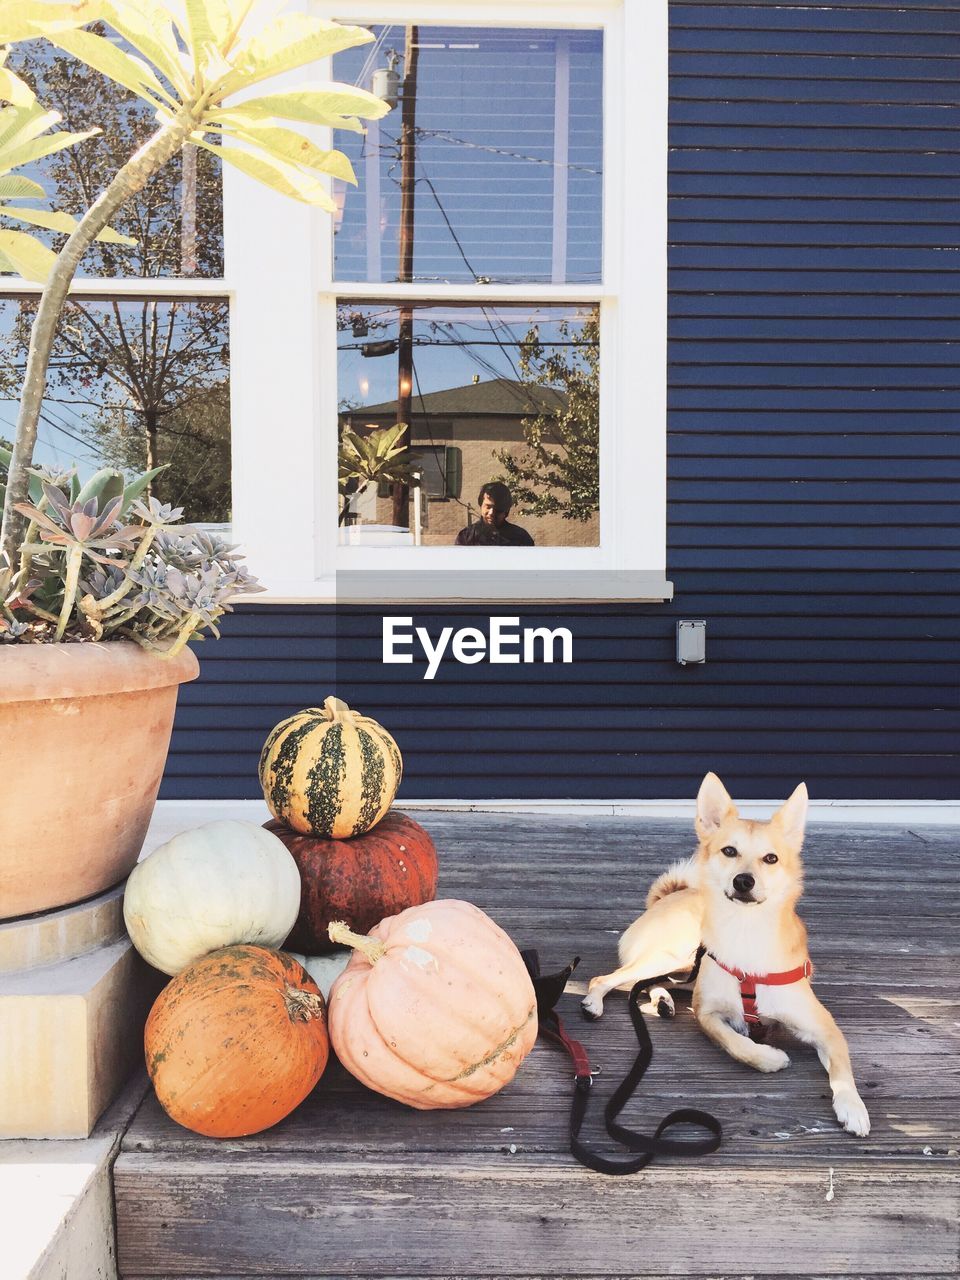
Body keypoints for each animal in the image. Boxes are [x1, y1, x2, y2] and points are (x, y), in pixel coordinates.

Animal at [578, 773, 870, 1136]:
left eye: (771, 859)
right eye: (729, 851)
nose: (744, 880)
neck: (745, 933)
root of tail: (667, 897)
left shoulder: (825, 1028)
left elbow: (843, 1067)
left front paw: (852, 1106)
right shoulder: (707, 1015)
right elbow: (736, 1044)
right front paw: (770, 1057)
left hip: (684, 968)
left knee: (647, 984)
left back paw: (663, 1001)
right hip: (675, 957)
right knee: (611, 979)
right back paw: (597, 1002)